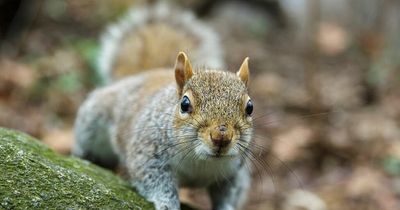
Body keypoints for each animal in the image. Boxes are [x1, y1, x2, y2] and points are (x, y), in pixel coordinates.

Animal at [72, 2, 253, 210]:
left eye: (250, 107)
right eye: (184, 104)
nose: (221, 136)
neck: (201, 162)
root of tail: (150, 72)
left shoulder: (235, 171)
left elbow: (229, 194)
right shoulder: (147, 152)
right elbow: (157, 182)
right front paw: (168, 204)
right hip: (93, 121)